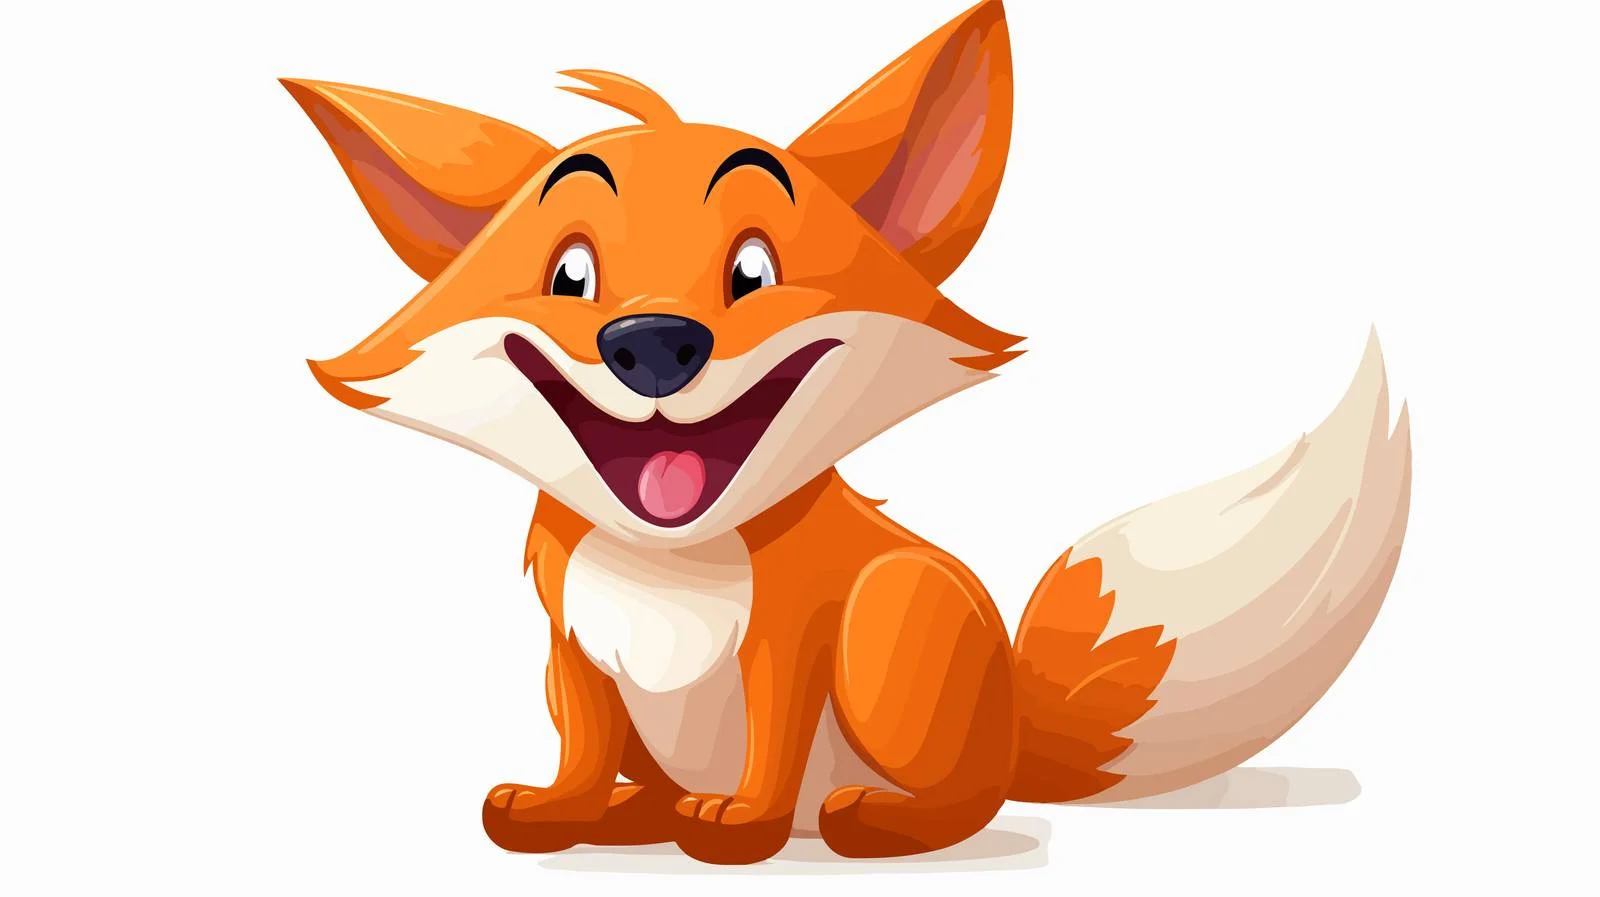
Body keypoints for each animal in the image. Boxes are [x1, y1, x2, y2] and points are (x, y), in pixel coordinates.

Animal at [284, 0, 1411, 865]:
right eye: (569, 275)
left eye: (752, 270)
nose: (652, 342)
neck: (667, 563)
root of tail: (1013, 725)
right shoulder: (573, 650)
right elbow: (583, 744)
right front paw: (565, 808)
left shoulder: (794, 634)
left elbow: (774, 743)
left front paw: (743, 823)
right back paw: (636, 812)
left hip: (892, 615)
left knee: (967, 800)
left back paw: (872, 820)